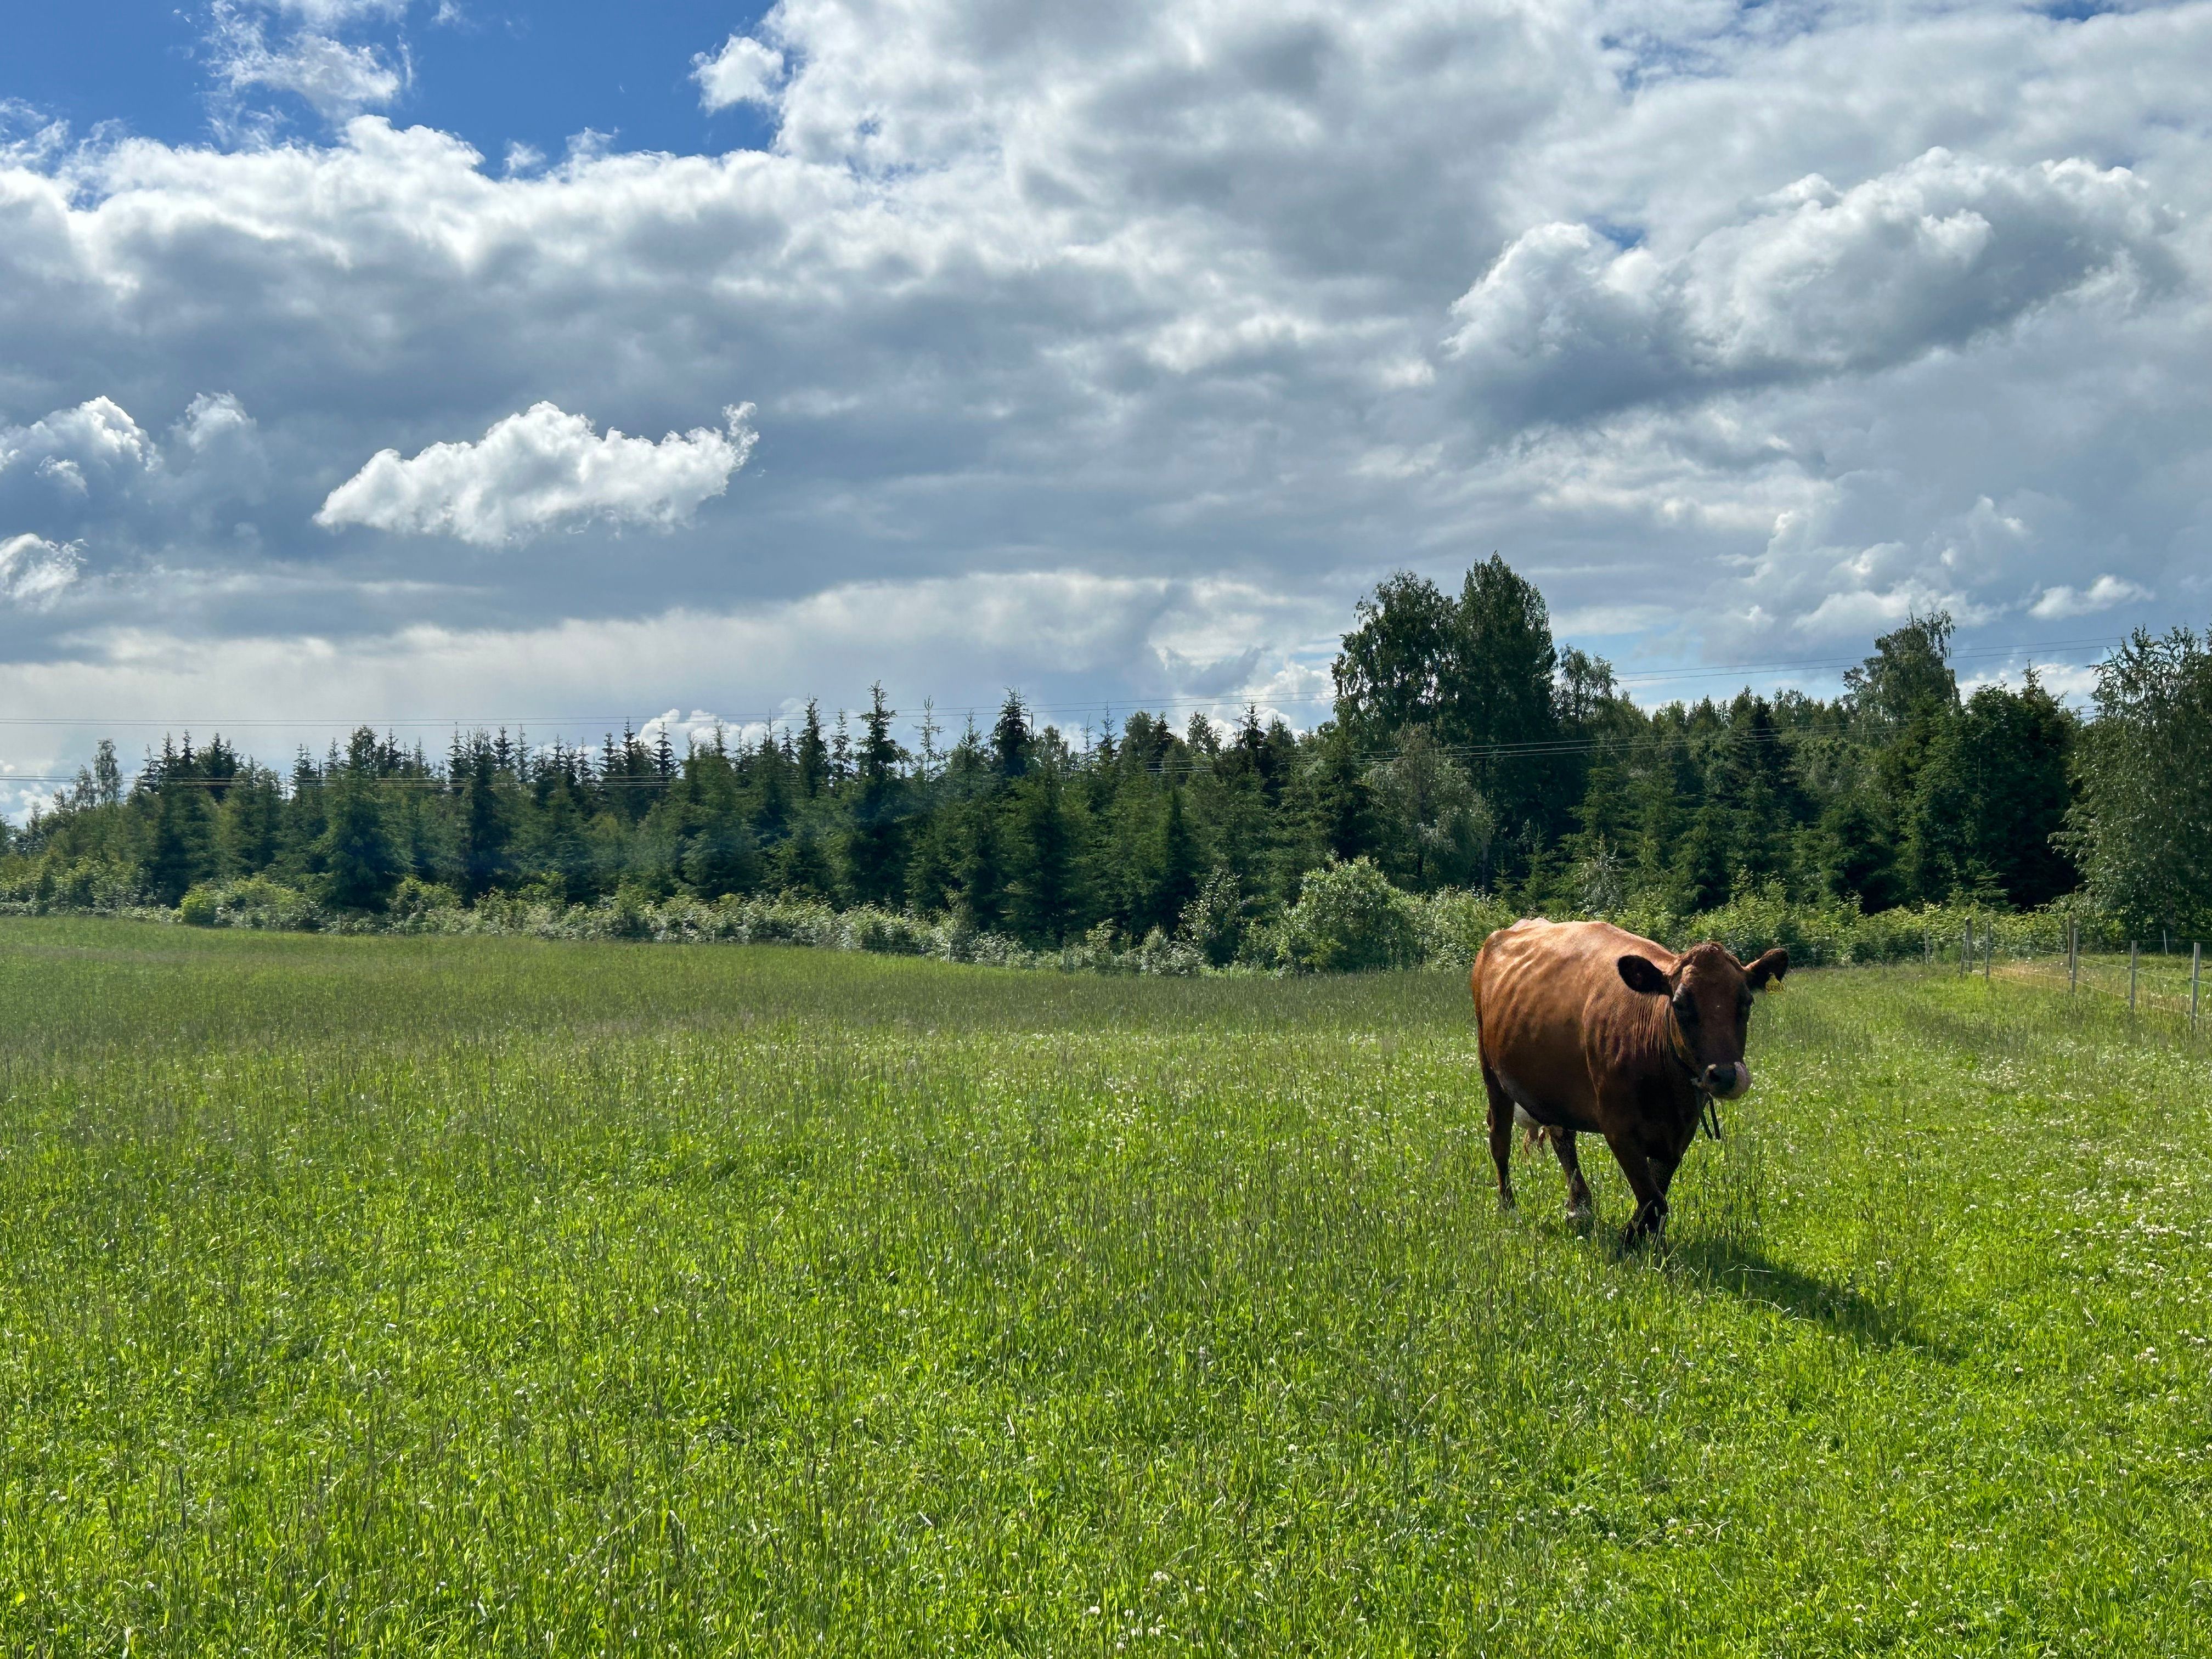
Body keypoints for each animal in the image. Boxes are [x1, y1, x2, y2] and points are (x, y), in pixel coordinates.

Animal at [1477, 924, 1787, 1248]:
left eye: (1747, 1002)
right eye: (1679, 1004)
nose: (1724, 1076)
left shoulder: (1679, 1134)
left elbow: (1656, 1193)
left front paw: (1646, 1240)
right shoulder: (1618, 1129)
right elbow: (1653, 1199)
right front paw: (1629, 1242)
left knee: (1562, 1138)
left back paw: (1579, 1208)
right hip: (1491, 1071)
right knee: (1500, 1139)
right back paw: (1509, 1207)